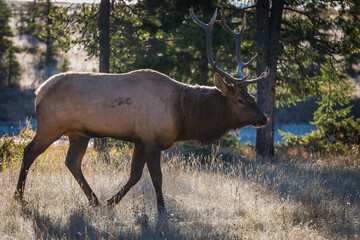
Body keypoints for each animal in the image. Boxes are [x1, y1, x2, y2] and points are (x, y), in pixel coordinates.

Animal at [14, 7, 268, 214]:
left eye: (252, 96)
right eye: (241, 100)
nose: (263, 118)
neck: (183, 114)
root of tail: (38, 91)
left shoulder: (140, 140)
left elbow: (134, 176)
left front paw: (111, 202)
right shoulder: (151, 139)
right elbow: (156, 178)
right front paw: (162, 210)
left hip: (79, 133)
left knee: (72, 162)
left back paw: (94, 200)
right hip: (50, 125)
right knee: (29, 152)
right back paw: (19, 197)